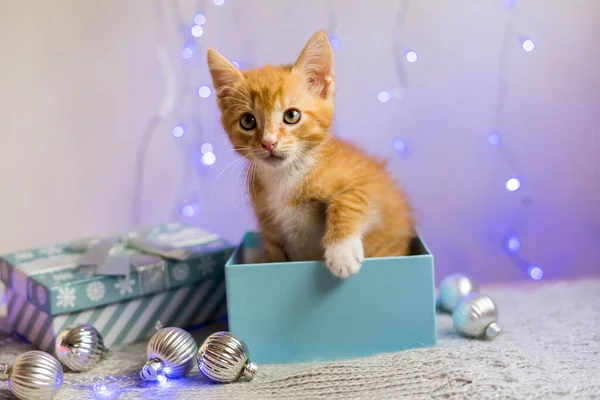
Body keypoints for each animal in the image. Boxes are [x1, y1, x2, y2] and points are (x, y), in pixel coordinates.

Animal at [209, 31, 414, 278]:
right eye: (247, 121)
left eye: (291, 116)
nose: (269, 142)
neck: (287, 175)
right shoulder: (269, 228)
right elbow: (275, 257)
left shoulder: (373, 182)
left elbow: (349, 199)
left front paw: (341, 251)